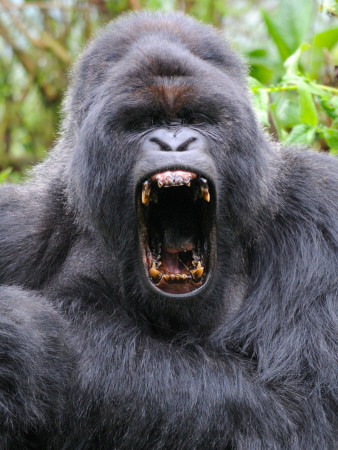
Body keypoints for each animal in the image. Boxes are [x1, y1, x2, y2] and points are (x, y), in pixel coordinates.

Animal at [0, 10, 338, 450]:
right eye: (145, 122)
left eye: (196, 119)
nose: (173, 142)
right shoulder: (18, 226)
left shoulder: (318, 212)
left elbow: (304, 411)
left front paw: (38, 346)